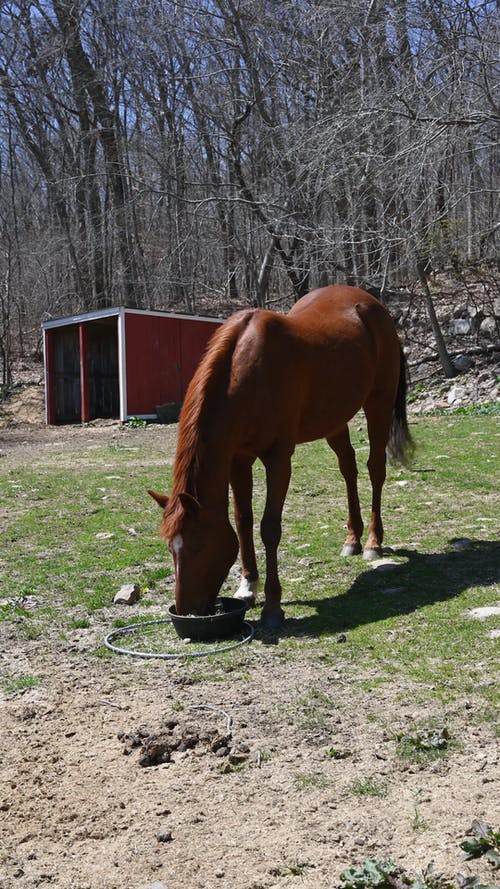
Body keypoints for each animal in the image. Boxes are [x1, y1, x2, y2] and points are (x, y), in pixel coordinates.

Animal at [149, 282, 414, 624]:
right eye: (171, 548)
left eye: (199, 545)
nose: (186, 611)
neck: (247, 374)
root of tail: (372, 304)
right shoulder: (238, 460)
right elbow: (243, 521)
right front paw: (247, 587)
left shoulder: (278, 459)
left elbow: (269, 527)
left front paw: (273, 605)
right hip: (334, 420)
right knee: (348, 468)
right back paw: (352, 540)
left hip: (378, 404)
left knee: (375, 469)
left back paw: (372, 542)